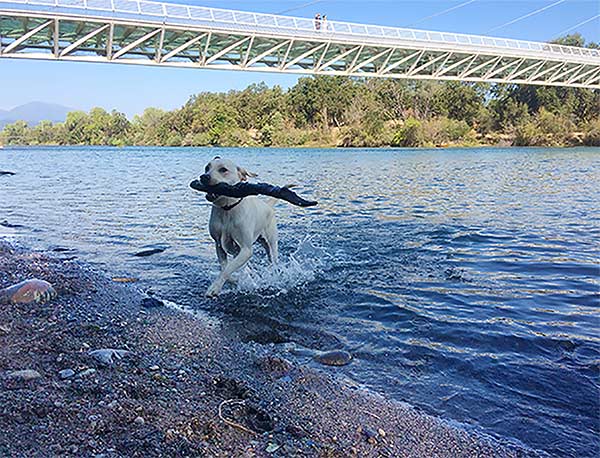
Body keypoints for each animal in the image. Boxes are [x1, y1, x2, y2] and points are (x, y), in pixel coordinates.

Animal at [200, 156, 278, 296]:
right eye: (207, 168)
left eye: (223, 170)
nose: (204, 177)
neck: (227, 209)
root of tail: (268, 205)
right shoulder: (219, 245)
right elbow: (225, 267)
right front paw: (236, 280)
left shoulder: (246, 249)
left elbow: (227, 269)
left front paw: (214, 288)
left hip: (271, 243)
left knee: (273, 258)